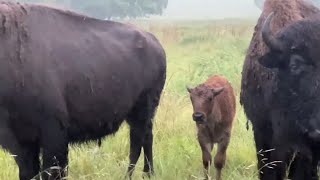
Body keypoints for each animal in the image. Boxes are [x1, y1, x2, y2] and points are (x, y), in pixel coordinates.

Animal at [0, 1, 166, 180]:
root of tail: (155, 43)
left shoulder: (53, 134)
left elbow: (53, 170)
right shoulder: (20, 142)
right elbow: (29, 172)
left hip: (143, 110)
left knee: (138, 143)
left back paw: (134, 175)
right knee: (145, 139)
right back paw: (148, 174)